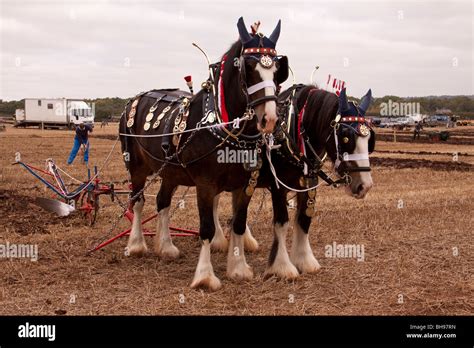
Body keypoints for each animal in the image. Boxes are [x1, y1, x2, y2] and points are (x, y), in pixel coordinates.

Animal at [118, 18, 288, 290]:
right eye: (249, 69)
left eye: (277, 70)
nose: (269, 118)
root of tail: (134, 99)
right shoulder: (205, 184)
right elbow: (206, 228)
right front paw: (205, 276)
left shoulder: (245, 184)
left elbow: (239, 224)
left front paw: (238, 268)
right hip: (136, 168)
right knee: (138, 201)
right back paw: (136, 245)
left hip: (170, 173)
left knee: (162, 202)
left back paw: (166, 247)